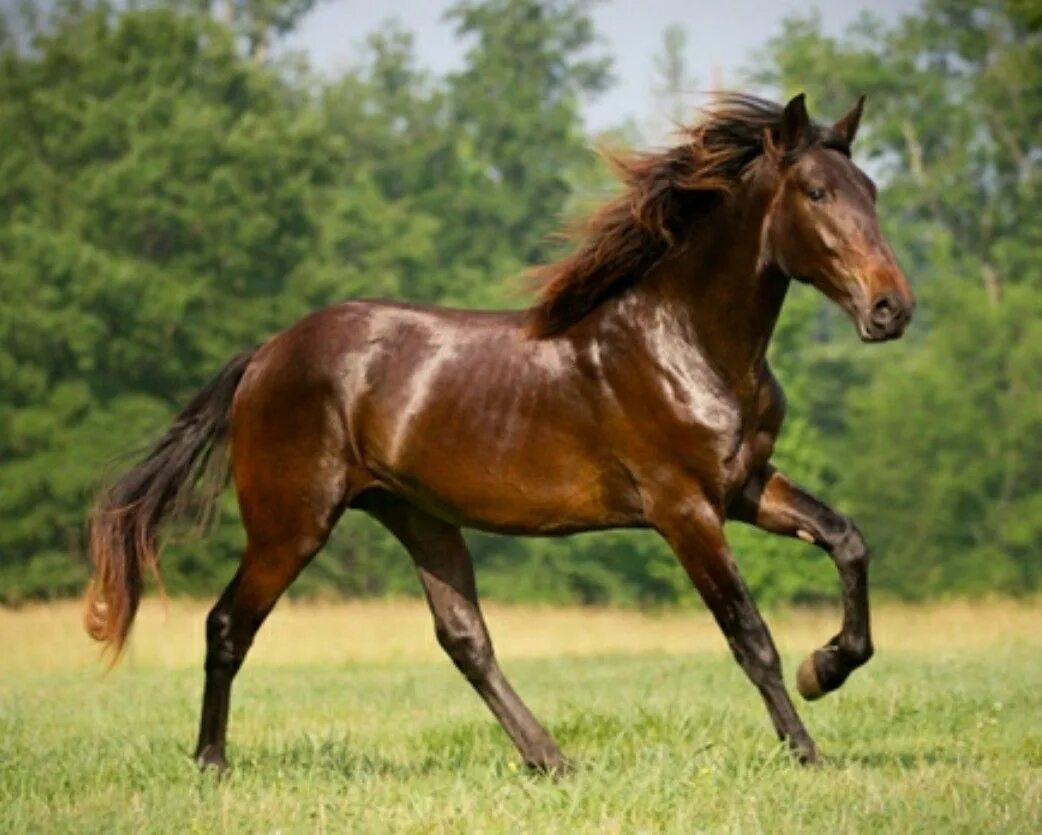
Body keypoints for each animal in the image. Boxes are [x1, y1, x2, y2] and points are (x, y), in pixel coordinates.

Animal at [85, 92, 912, 775]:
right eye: (816, 192)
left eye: (871, 191)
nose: (891, 309)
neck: (686, 341)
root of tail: (264, 355)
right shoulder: (684, 509)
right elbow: (749, 633)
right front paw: (808, 747)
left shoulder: (743, 487)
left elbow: (847, 539)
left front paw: (828, 665)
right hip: (291, 523)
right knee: (228, 623)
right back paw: (211, 763)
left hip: (416, 515)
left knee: (465, 639)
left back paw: (551, 758)